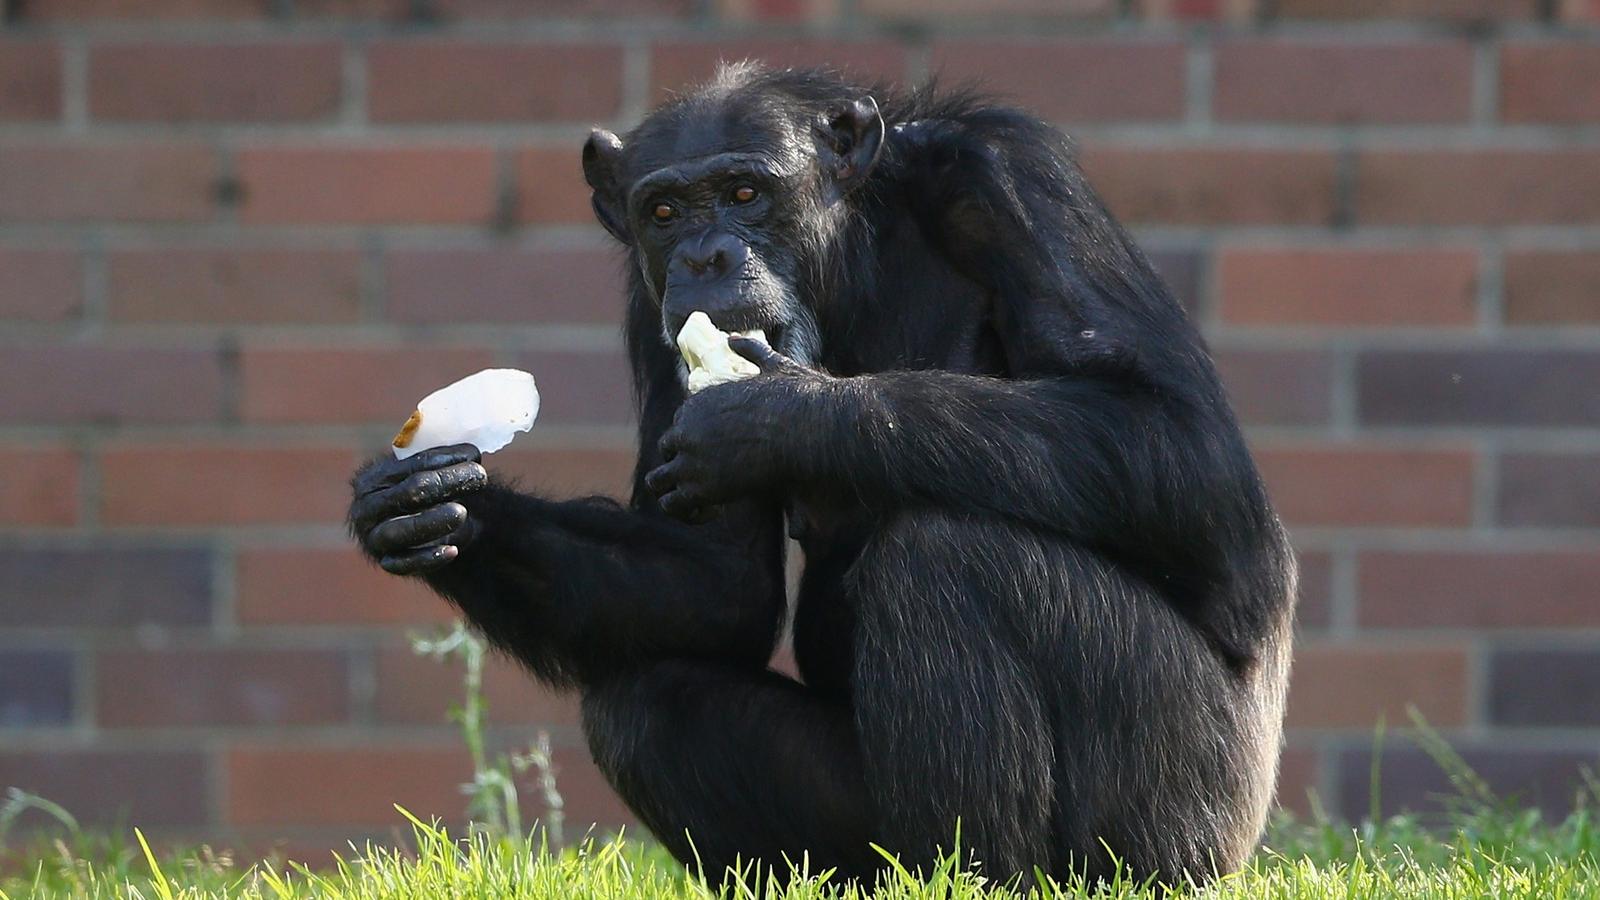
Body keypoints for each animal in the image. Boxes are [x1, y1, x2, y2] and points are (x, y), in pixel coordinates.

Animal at [344, 64, 1292, 883]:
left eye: (744, 195)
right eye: (663, 211)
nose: (707, 258)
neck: (851, 258)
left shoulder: (1013, 181)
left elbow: (1180, 442)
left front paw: (776, 420)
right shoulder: (648, 311)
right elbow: (716, 586)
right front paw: (434, 504)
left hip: (1183, 809)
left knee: (954, 557)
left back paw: (985, 876)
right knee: (644, 706)